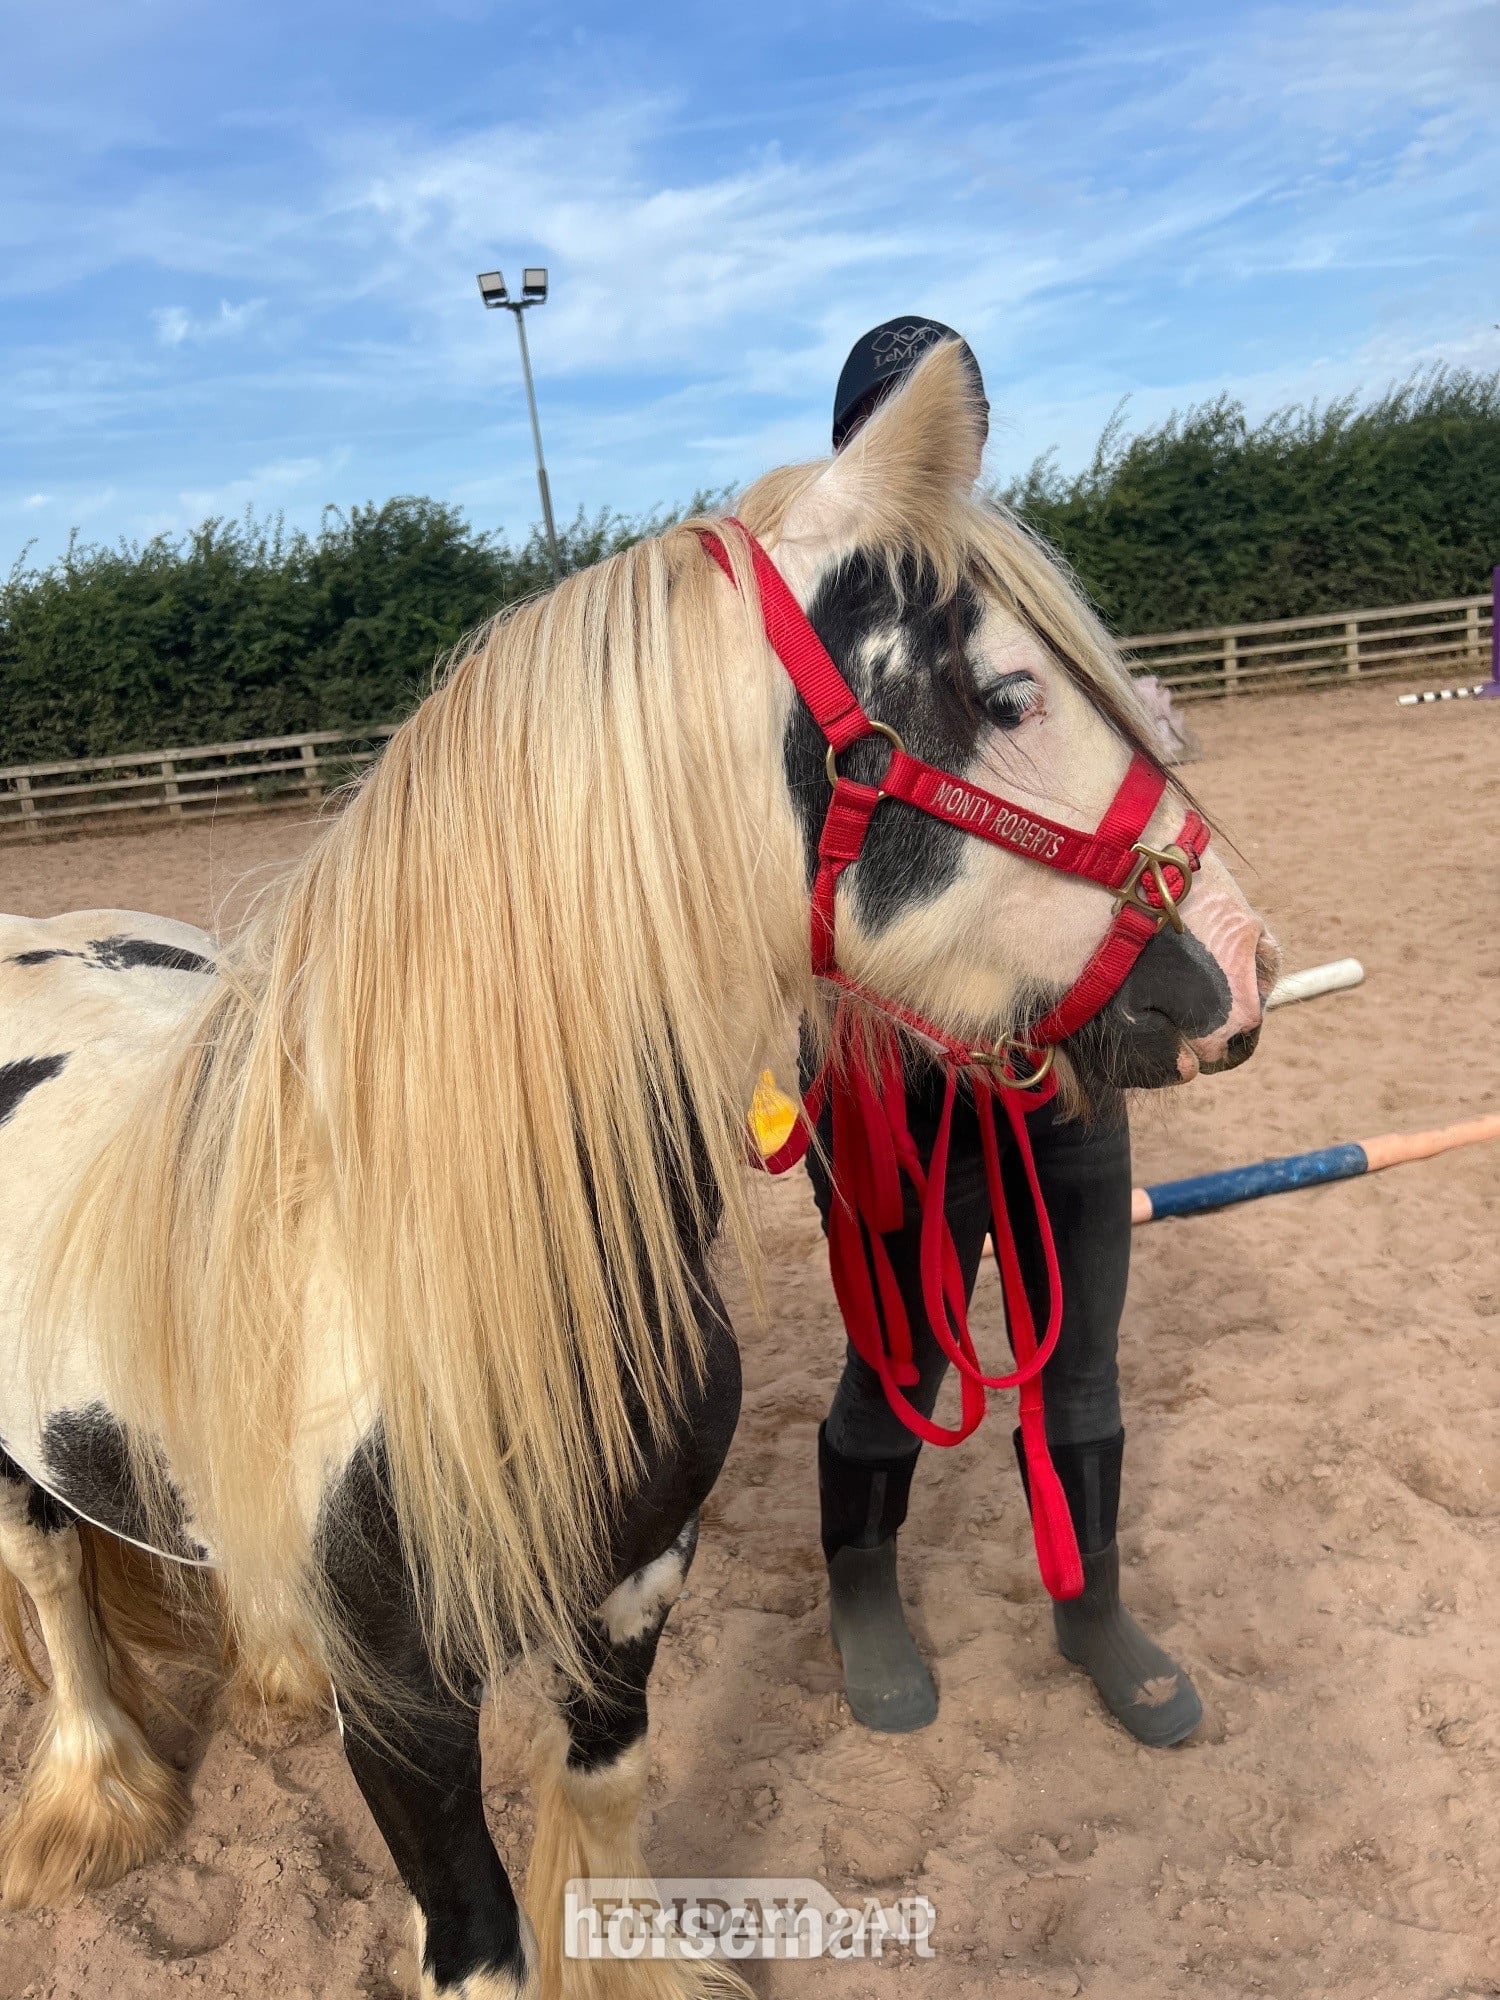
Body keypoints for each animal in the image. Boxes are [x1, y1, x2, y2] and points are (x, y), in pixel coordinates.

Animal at [0, 341, 1274, 1999]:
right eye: (1009, 695)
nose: (1241, 970)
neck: (441, 1278)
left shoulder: (636, 1590)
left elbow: (602, 1800)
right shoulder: (405, 1707)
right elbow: (475, 1938)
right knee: (50, 1585)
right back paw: (94, 1796)